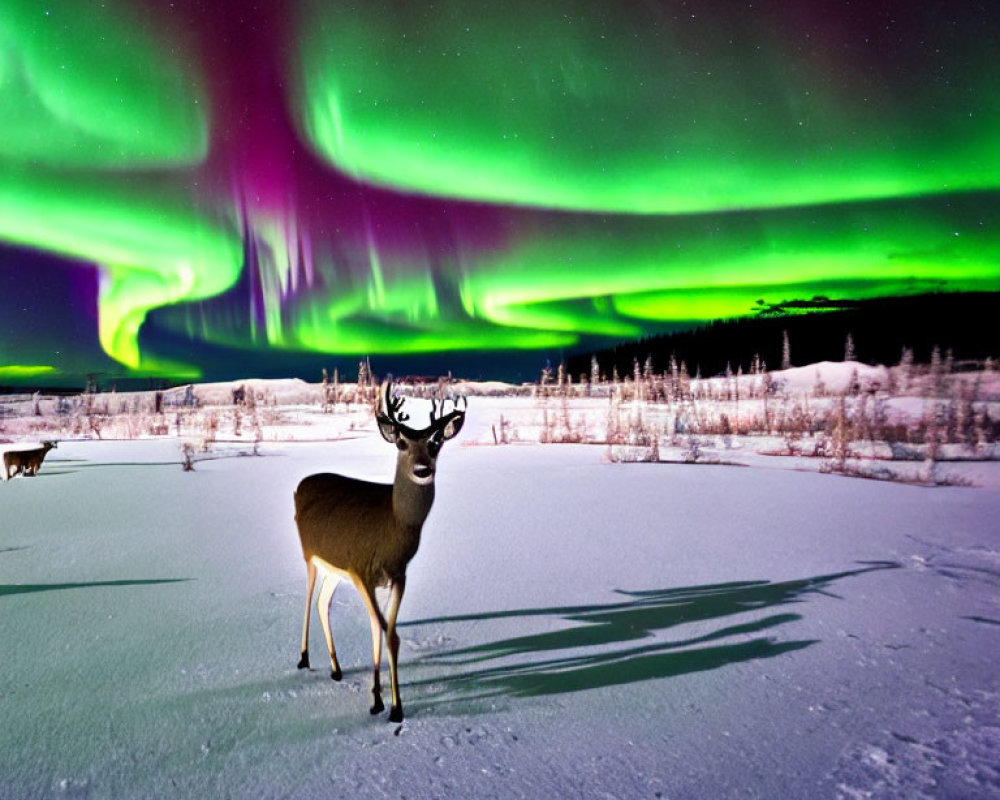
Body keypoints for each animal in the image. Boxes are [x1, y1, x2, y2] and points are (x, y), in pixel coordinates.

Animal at [294, 378, 466, 720]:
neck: (392, 528)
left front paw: (390, 703)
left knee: (322, 602)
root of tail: (300, 485)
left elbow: (391, 634)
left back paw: (336, 668)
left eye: (436, 441)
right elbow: (379, 625)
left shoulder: (398, 575)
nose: (423, 469)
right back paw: (304, 659)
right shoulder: (361, 569)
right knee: (308, 597)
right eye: (400, 442)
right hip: (310, 554)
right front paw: (382, 701)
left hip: (335, 567)